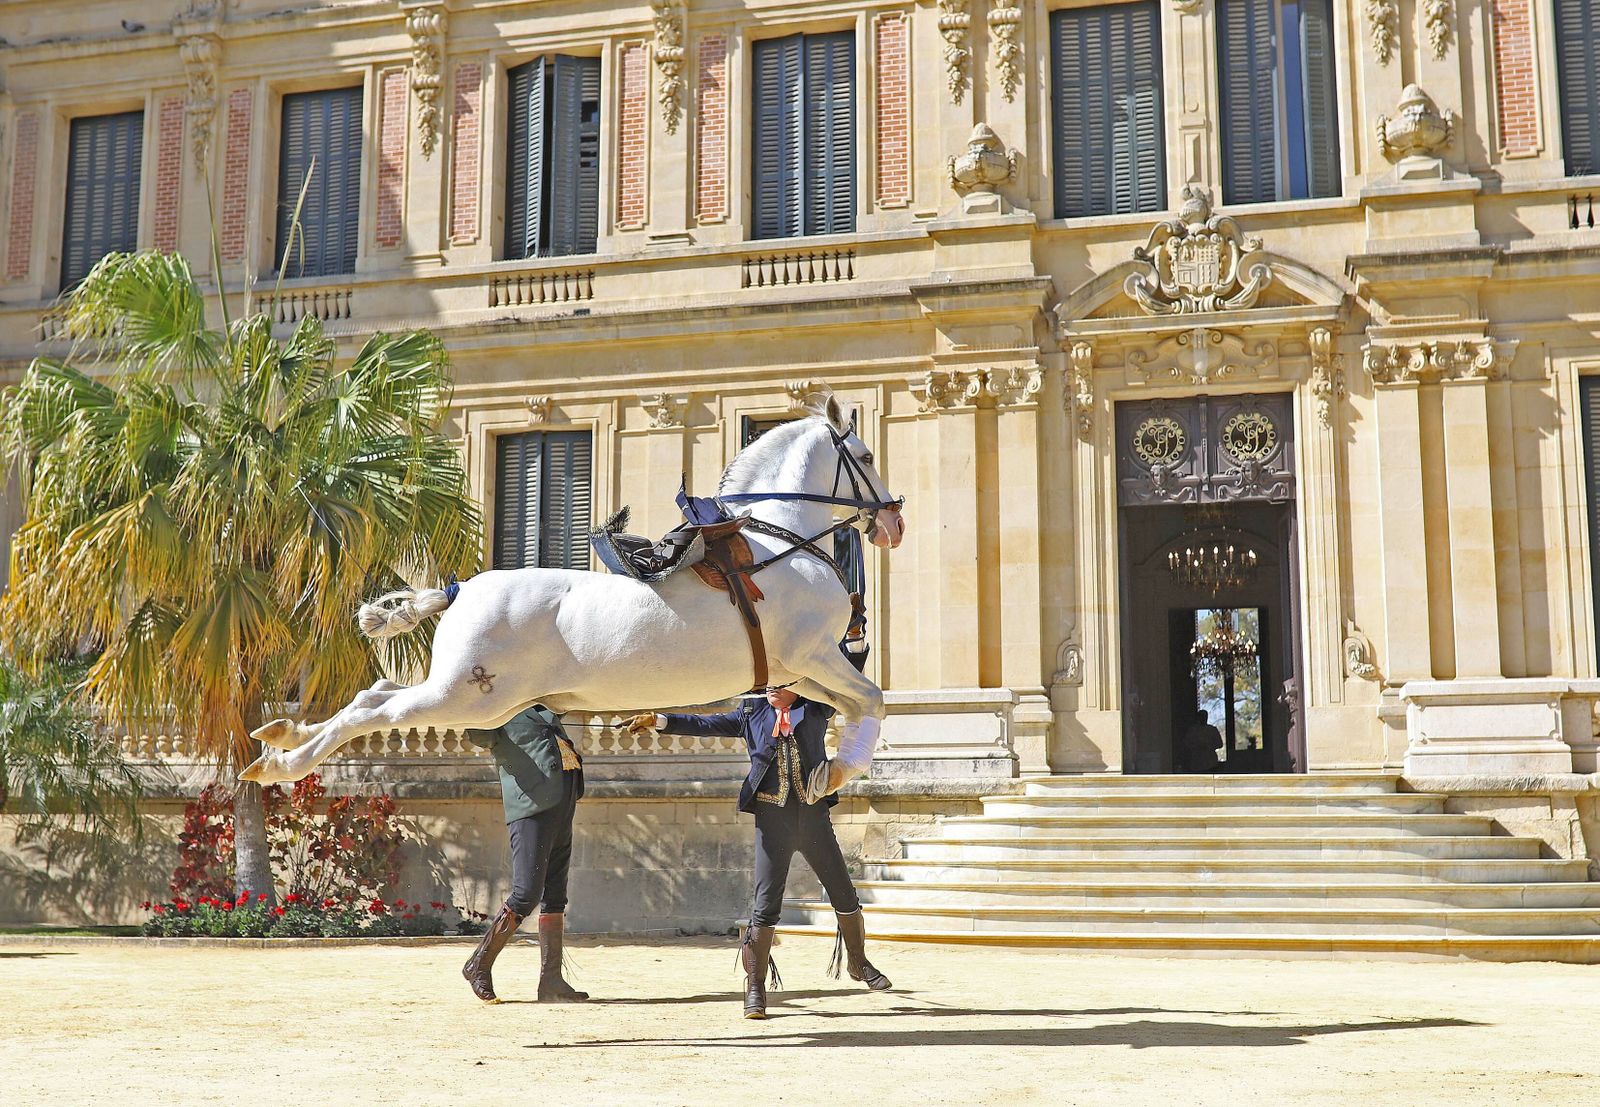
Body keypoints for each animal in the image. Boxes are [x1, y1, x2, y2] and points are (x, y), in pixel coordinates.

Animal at [238, 390, 905, 789]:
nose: (894, 521)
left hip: (470, 695)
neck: (778, 538)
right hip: (465, 697)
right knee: (376, 712)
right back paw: (284, 762)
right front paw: (838, 774)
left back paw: (281, 739)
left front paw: (829, 771)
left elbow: (856, 704)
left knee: (370, 695)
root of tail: (460, 590)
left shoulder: (797, 671)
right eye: (867, 456)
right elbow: (873, 699)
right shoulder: (814, 654)